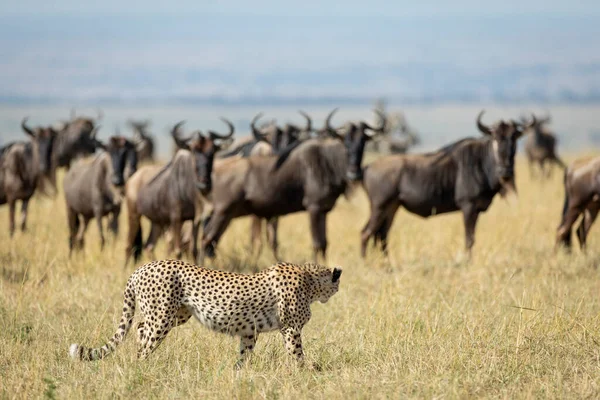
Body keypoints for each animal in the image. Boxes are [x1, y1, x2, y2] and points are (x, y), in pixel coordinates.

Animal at [69, 260, 342, 366]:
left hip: (179, 314)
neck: (310, 279)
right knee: (145, 335)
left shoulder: (249, 331)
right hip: (162, 317)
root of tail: (142, 267)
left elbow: (244, 354)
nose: (337, 292)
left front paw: (237, 373)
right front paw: (308, 371)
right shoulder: (291, 329)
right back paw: (141, 364)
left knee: (139, 328)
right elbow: (297, 354)